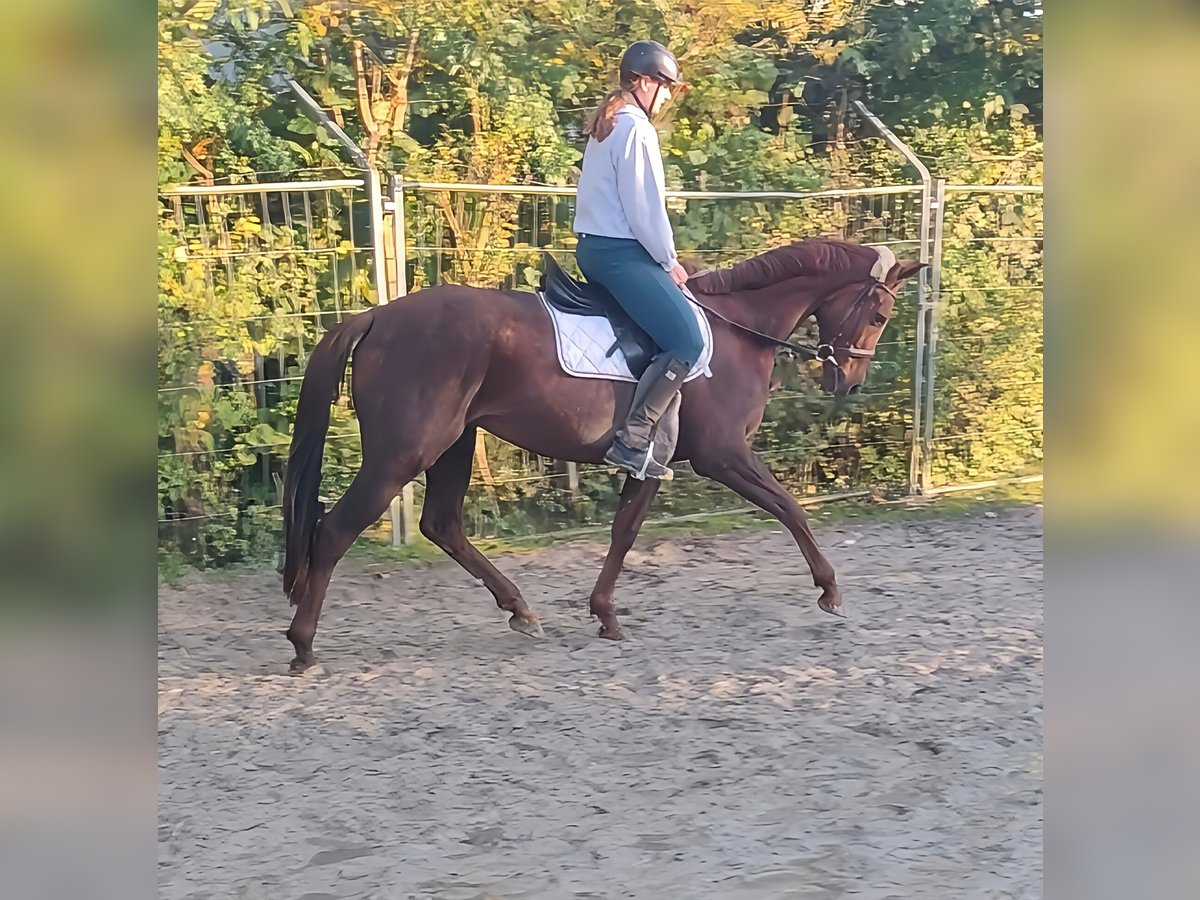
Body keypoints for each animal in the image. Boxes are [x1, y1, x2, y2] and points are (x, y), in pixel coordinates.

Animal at [285, 236, 921, 672]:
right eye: (880, 314)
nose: (849, 383)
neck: (737, 333)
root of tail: (376, 316)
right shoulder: (723, 455)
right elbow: (790, 508)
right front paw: (829, 589)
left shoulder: (653, 464)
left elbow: (623, 532)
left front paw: (606, 615)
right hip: (403, 454)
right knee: (335, 531)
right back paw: (303, 645)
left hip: (454, 445)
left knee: (442, 525)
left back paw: (520, 610)